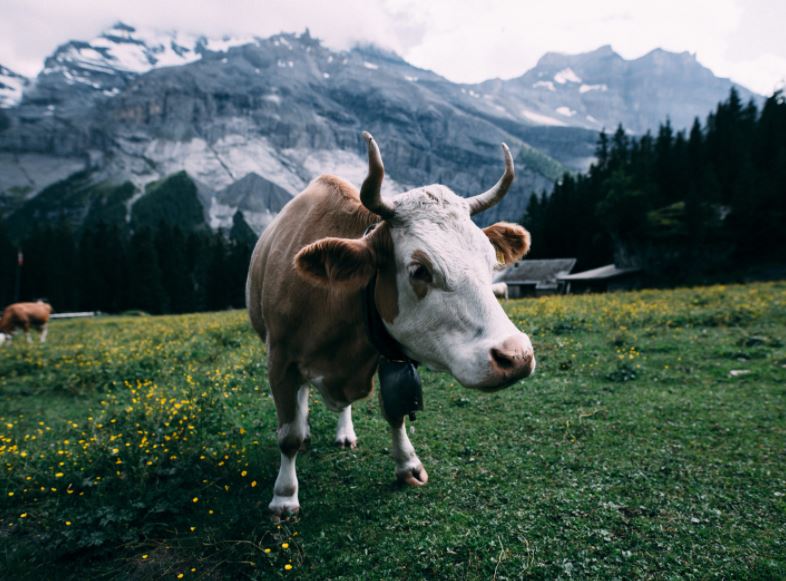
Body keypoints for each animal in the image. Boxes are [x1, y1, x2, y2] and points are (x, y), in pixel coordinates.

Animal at [248, 133, 536, 516]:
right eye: (419, 269)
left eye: (491, 261)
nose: (516, 356)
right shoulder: (279, 361)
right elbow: (288, 435)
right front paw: (284, 496)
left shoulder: (389, 356)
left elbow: (396, 411)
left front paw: (408, 465)